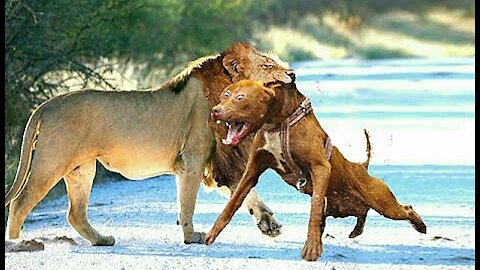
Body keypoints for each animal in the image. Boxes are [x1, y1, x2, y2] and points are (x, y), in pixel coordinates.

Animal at [5, 41, 294, 245]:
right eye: (267, 65)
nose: (292, 74)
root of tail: (45, 106)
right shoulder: (193, 160)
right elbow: (187, 203)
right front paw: (191, 237)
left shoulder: (213, 161)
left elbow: (244, 193)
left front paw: (269, 224)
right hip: (50, 162)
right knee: (20, 203)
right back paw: (18, 243)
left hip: (82, 169)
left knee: (74, 213)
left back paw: (101, 240)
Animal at [204, 80, 426, 262]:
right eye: (224, 95)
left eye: (240, 98)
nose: (215, 110)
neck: (277, 123)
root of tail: (362, 166)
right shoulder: (251, 172)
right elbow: (231, 205)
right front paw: (213, 232)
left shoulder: (320, 168)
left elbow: (314, 211)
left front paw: (311, 248)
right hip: (346, 207)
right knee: (363, 212)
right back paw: (356, 231)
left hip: (383, 203)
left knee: (406, 209)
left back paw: (420, 226)